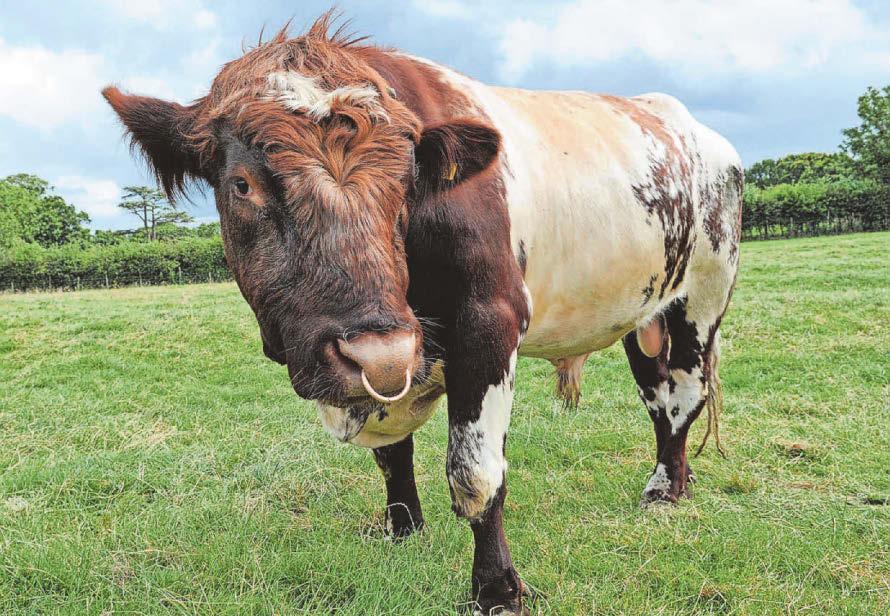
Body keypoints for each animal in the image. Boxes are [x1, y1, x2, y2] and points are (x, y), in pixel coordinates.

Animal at [103, 13, 742, 615]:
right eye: (242, 184)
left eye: (406, 183)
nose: (376, 352)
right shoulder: (389, 365)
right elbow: (392, 453)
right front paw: (404, 529)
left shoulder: (489, 322)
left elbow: (475, 471)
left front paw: (498, 589)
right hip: (644, 312)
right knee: (657, 397)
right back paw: (675, 479)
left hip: (701, 298)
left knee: (684, 395)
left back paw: (664, 491)